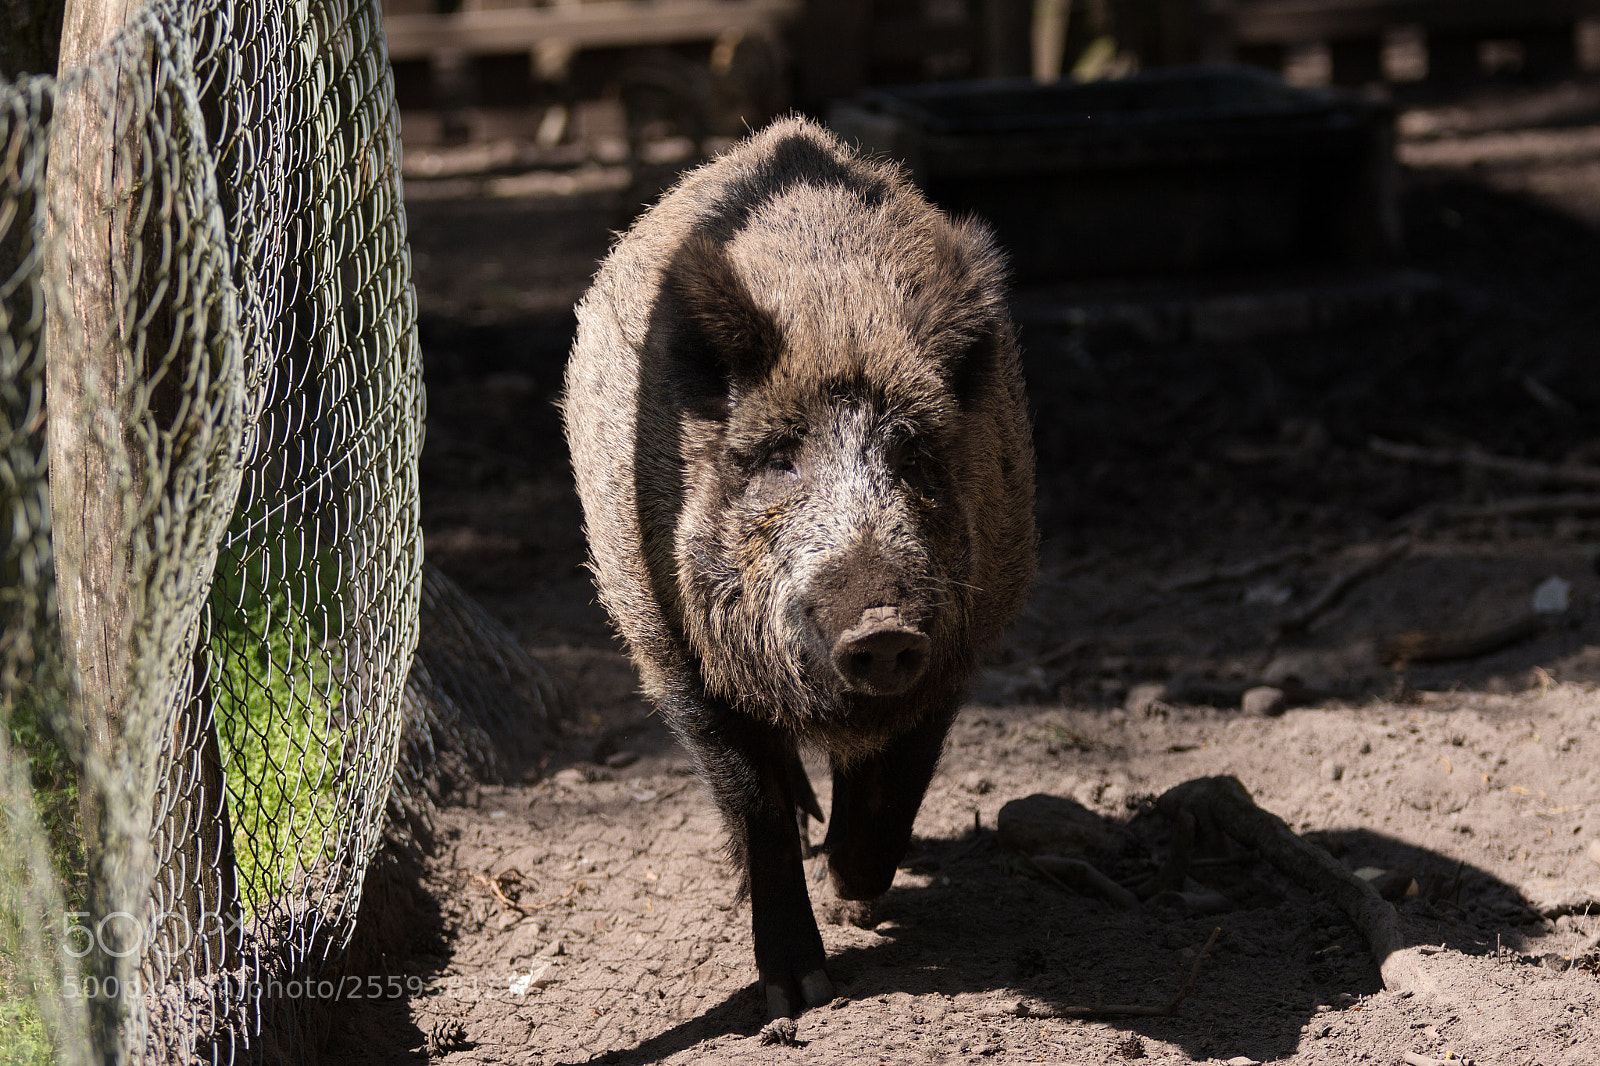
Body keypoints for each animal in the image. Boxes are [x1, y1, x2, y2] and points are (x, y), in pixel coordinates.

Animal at [561, 116, 1035, 1018]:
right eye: (779, 459)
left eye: (914, 455)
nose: (878, 623)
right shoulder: (670, 646)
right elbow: (754, 803)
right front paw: (798, 994)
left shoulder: (964, 636)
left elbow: (900, 776)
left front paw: (856, 897)